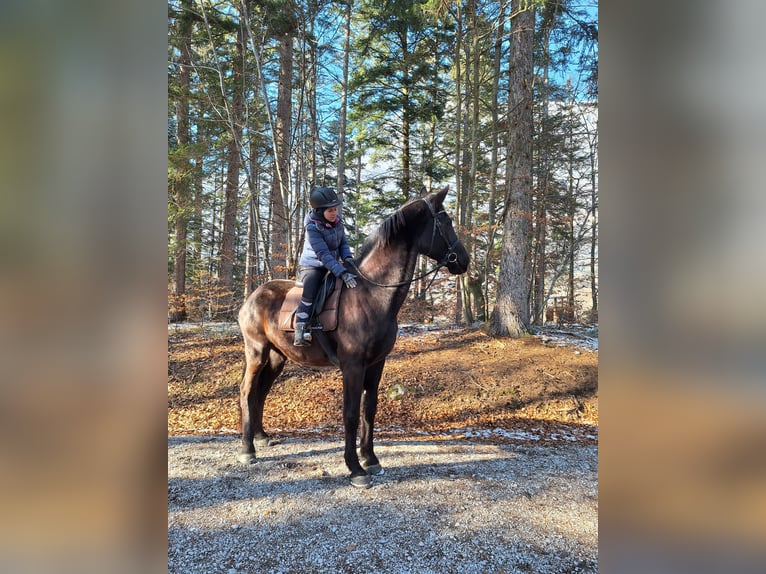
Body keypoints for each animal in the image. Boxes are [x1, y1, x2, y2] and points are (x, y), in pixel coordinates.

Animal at [237, 187, 472, 488]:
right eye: (446, 222)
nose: (464, 260)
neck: (372, 294)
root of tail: (253, 296)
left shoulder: (376, 364)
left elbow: (368, 409)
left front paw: (370, 458)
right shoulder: (353, 366)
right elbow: (349, 414)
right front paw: (355, 468)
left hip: (278, 356)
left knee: (261, 391)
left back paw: (261, 437)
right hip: (257, 352)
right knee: (247, 390)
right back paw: (247, 449)